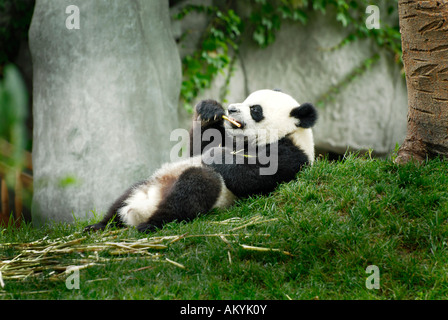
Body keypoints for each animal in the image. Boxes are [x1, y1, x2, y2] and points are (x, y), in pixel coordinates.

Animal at [83, 89, 316, 234]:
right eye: (246, 100)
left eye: (255, 109)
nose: (231, 109)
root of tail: (141, 209)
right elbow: (199, 147)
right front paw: (210, 110)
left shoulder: (292, 154)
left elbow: (255, 177)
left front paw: (216, 155)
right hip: (150, 181)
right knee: (123, 198)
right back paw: (100, 225)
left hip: (202, 192)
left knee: (193, 188)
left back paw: (151, 224)